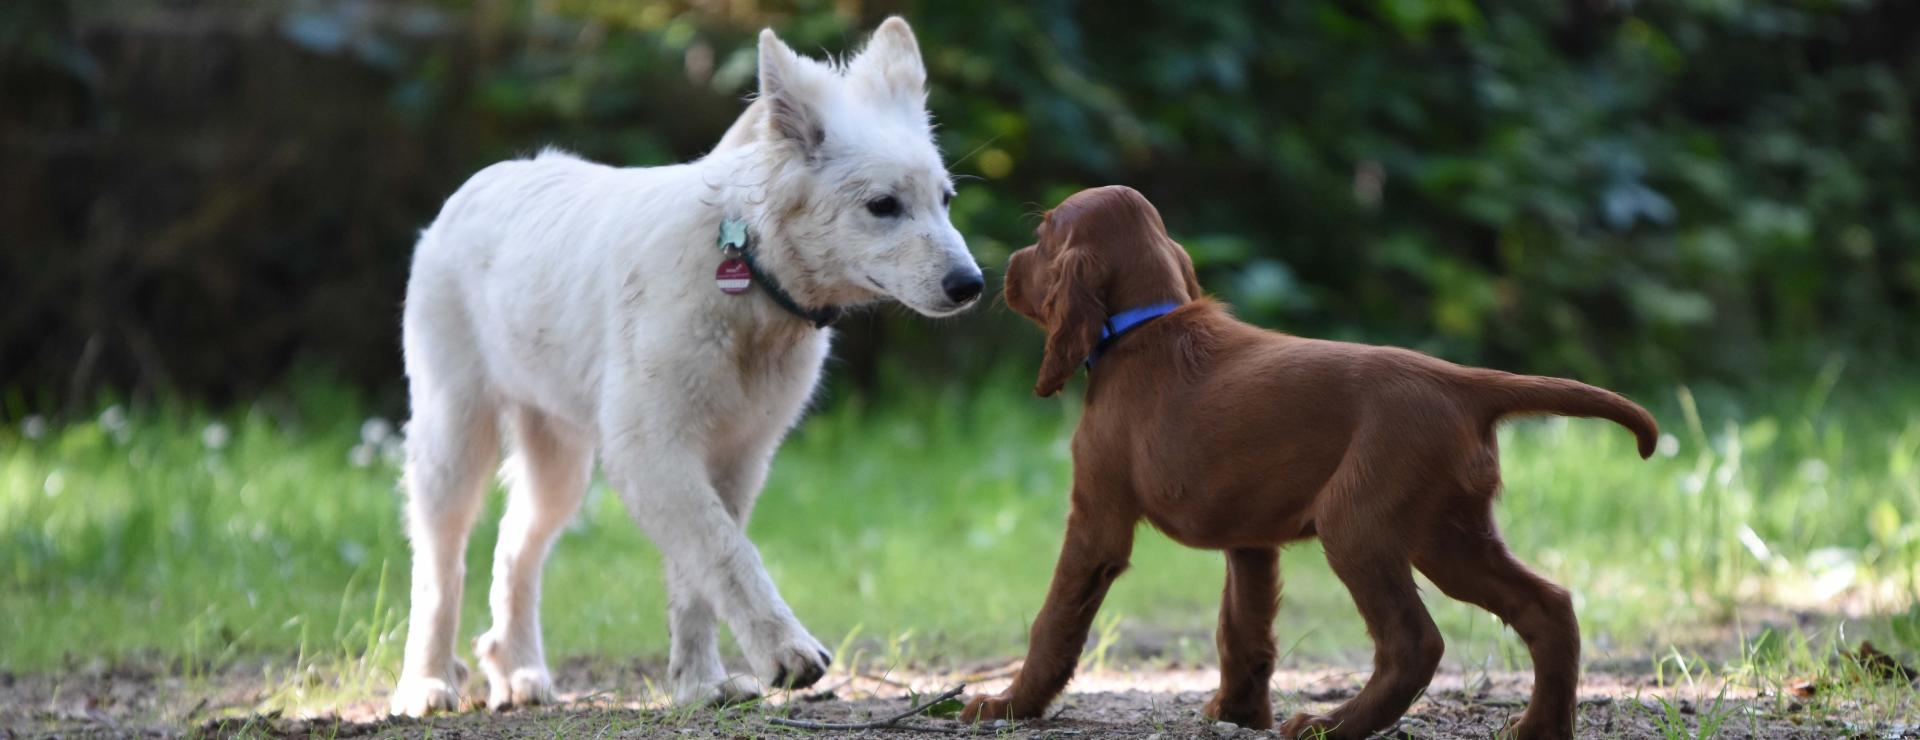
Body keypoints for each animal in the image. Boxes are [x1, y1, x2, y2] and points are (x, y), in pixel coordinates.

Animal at [393, 20, 990, 715]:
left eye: (945, 200)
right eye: (884, 205)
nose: (971, 286)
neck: (748, 274)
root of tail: (479, 184)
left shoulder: (734, 457)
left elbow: (699, 577)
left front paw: (702, 685)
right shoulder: (653, 451)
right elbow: (728, 554)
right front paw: (785, 653)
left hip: (558, 465)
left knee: (516, 548)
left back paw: (517, 672)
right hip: (454, 438)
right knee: (439, 568)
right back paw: (426, 683)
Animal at [967, 186, 1658, 738]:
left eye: (1042, 236)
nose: (1001, 268)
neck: (1145, 326)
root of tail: (1462, 384)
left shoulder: (1096, 519)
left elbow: (1055, 621)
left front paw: (1007, 705)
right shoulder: (1249, 539)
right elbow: (1242, 630)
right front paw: (1240, 714)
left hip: (1358, 523)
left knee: (1415, 643)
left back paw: (1332, 725)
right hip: (1450, 533)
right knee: (1549, 607)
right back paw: (1541, 726)